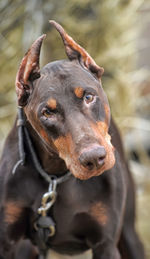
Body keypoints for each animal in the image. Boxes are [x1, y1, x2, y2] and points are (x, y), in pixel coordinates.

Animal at [0, 20, 145, 259]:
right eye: (47, 113)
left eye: (88, 97)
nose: (94, 159)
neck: (55, 176)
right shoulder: (8, 242)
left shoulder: (105, 244)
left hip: (129, 233)